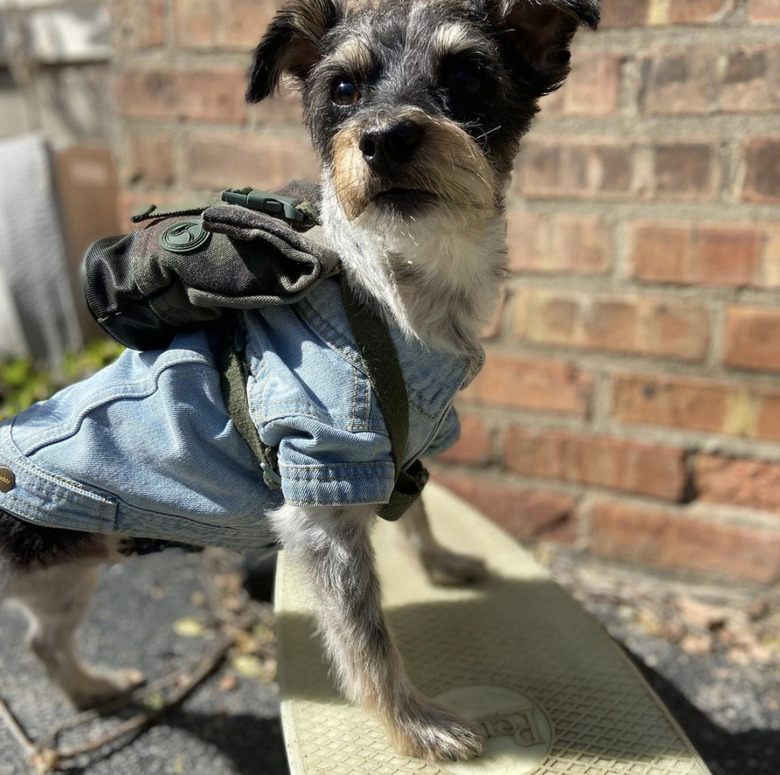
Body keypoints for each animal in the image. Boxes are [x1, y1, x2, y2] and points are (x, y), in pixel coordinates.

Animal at [0, 0, 596, 764]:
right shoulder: (320, 495)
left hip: (64, 577)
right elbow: (367, 640)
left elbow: (419, 515)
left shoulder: (396, 451)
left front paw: (441, 562)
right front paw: (415, 725)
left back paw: (90, 689)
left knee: (44, 643)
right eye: (343, 89)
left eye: (467, 76)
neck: (392, 296)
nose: (384, 139)